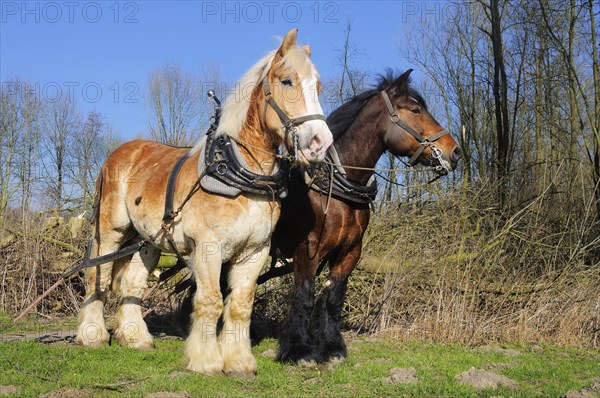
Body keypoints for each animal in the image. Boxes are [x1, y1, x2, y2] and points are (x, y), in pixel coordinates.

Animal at [74, 29, 332, 378]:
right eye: (287, 81)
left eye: (317, 86)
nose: (321, 142)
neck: (242, 176)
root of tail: (120, 152)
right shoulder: (208, 249)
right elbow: (210, 301)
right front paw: (207, 361)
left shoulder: (255, 252)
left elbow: (240, 306)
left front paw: (239, 362)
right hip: (110, 231)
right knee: (96, 278)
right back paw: (93, 335)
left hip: (148, 241)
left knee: (132, 284)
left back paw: (136, 338)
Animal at [272, 69, 464, 364]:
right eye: (416, 109)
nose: (454, 151)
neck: (336, 187)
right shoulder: (307, 250)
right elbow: (304, 295)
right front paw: (299, 349)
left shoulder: (350, 251)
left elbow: (332, 297)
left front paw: (332, 347)